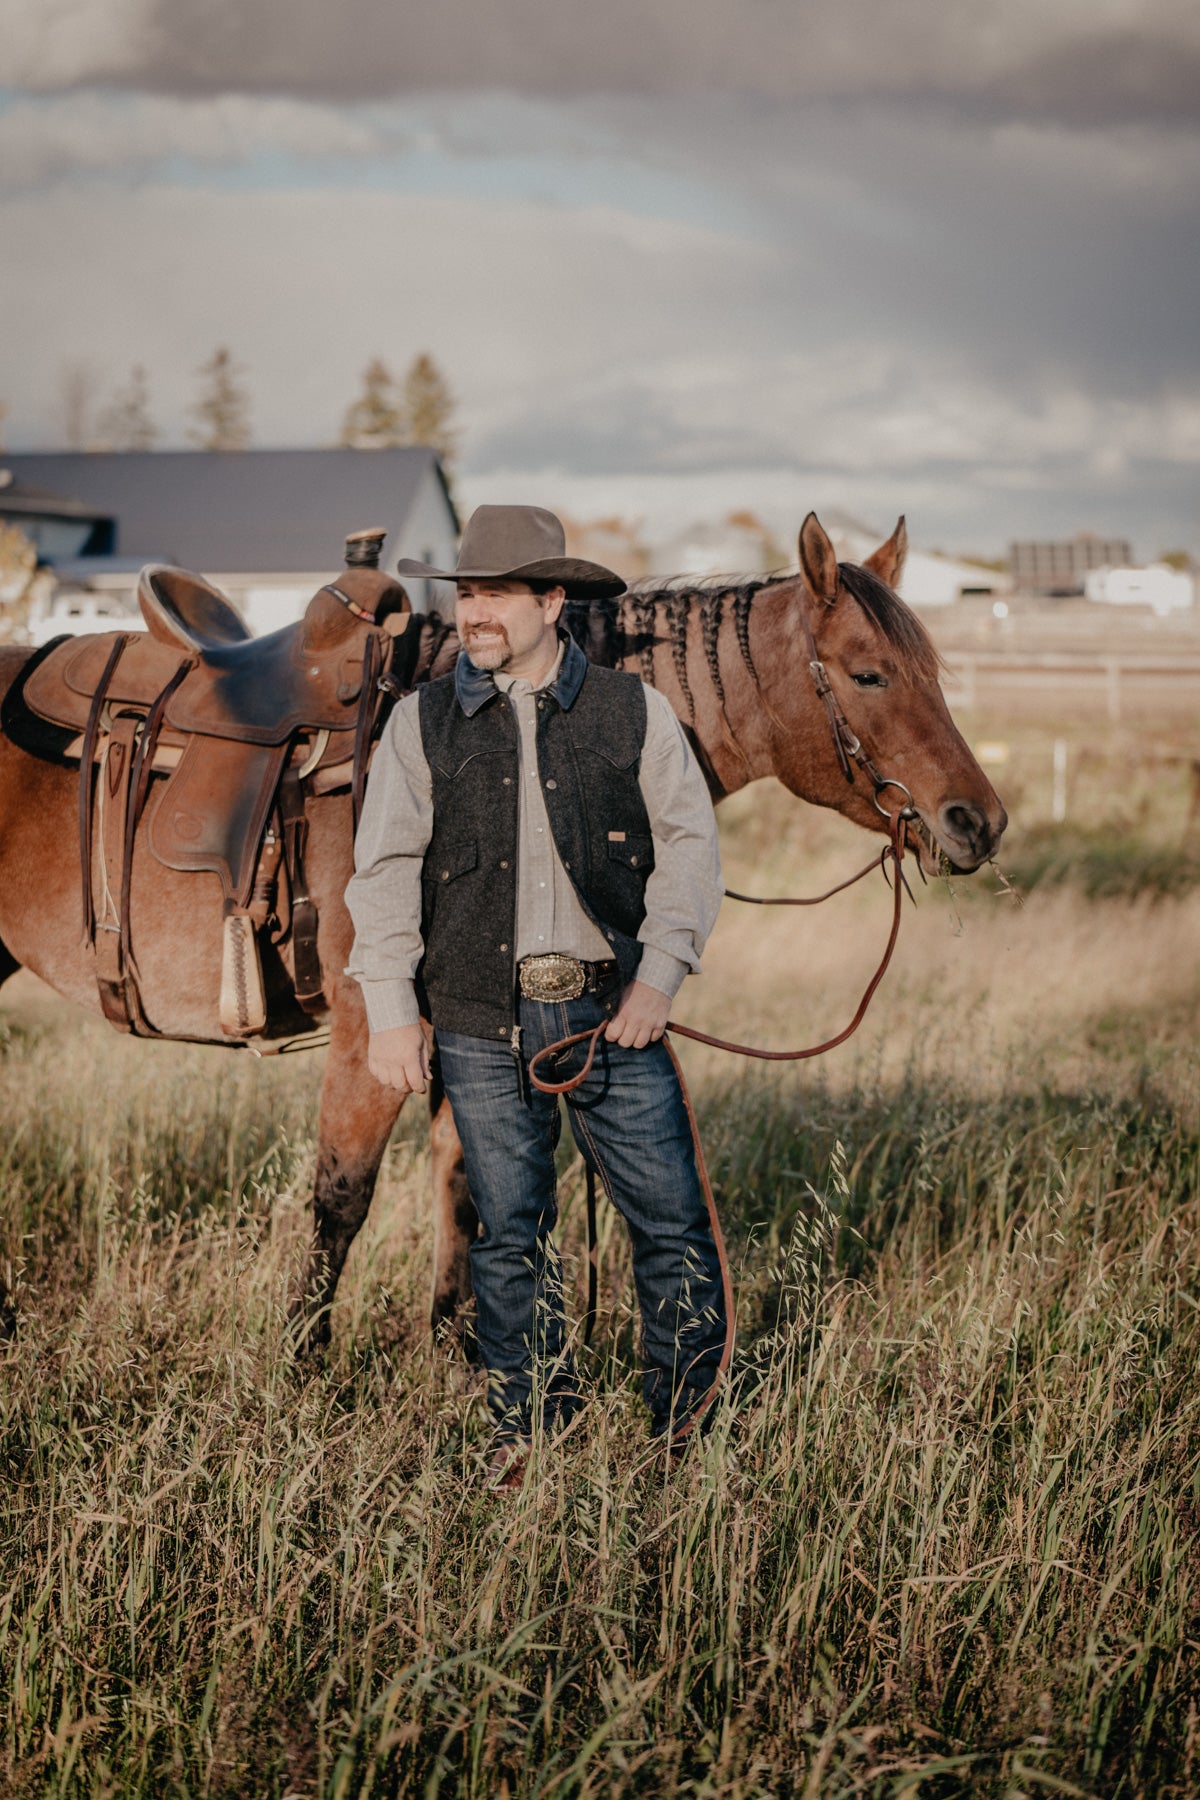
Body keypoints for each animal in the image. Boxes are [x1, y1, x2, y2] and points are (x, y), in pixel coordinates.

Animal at [0, 514, 1007, 1346]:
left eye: (936, 671)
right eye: (870, 673)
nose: (979, 822)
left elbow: (466, 1183)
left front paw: (460, 1351)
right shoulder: (375, 1026)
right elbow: (342, 1194)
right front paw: (301, 1366)